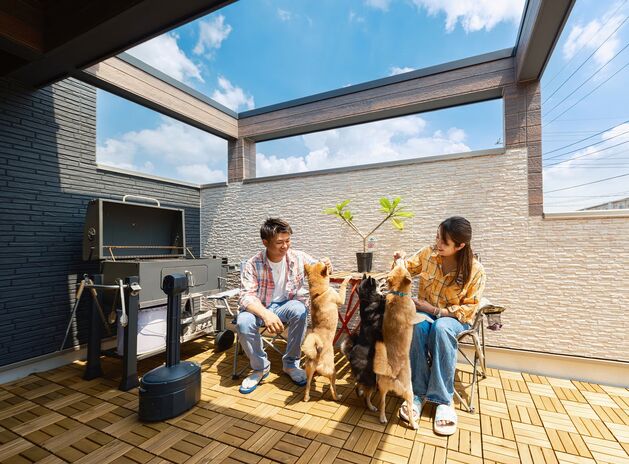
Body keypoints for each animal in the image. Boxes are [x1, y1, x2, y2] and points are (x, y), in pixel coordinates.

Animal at [302, 262, 350, 402]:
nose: (326, 263)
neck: (319, 293)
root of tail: (316, 354)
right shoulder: (340, 298)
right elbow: (343, 285)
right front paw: (348, 278)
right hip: (332, 372)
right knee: (332, 388)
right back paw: (337, 397)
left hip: (309, 371)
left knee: (307, 386)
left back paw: (306, 398)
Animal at [340, 274, 385, 412]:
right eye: (377, 281)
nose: (385, 279)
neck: (368, 301)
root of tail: (350, 356)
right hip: (371, 378)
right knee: (366, 395)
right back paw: (371, 406)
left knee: (358, 385)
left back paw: (359, 392)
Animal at [373, 262, 425, 429]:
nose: (399, 259)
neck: (398, 293)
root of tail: (392, 370)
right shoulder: (415, 315)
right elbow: (422, 317)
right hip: (409, 391)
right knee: (409, 407)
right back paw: (413, 424)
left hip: (382, 388)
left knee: (382, 404)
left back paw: (382, 418)